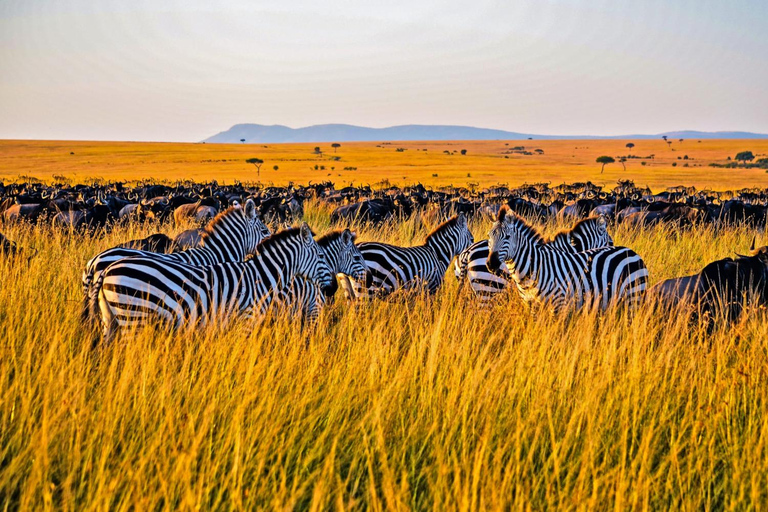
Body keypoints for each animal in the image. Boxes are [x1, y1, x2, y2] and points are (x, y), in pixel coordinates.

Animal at [94, 224, 332, 344]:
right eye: (321, 255)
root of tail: (106, 270)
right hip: (133, 316)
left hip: (111, 319)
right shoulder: (246, 320)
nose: (332, 289)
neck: (261, 277)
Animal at [486, 207, 648, 312]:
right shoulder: (531, 305)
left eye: (507, 237)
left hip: (634, 296)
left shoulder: (560, 304)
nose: (491, 264)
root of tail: (632, 251)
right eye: (489, 236)